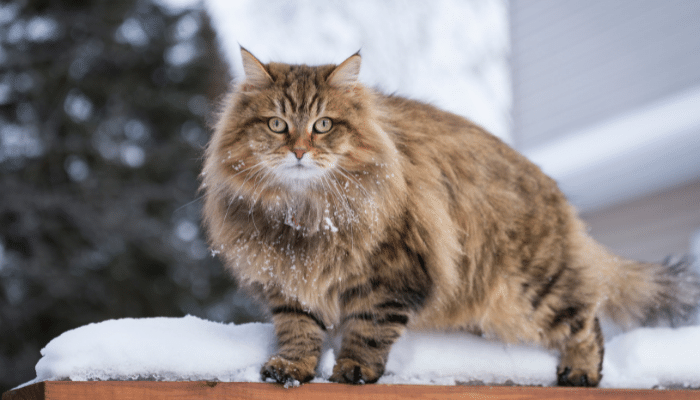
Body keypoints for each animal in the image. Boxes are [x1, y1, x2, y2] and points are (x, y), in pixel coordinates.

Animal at [198, 47, 700, 388]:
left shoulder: (394, 274)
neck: (306, 215)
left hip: (533, 289)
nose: (300, 151)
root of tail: (552, 190)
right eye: (276, 124)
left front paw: (354, 369)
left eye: (323, 125)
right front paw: (292, 368)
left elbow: (368, 329)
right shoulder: (287, 281)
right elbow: (298, 329)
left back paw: (579, 371)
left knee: (587, 318)